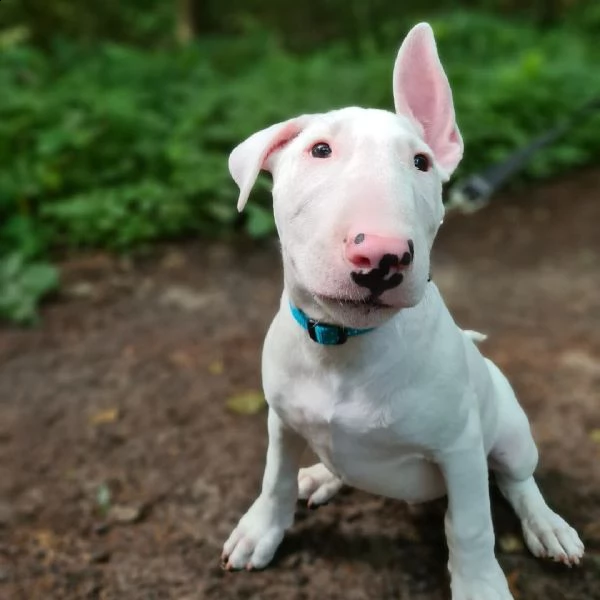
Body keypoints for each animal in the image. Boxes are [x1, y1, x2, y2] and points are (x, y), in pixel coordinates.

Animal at [219, 21, 580, 596]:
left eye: (421, 162)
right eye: (319, 149)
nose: (382, 255)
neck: (341, 345)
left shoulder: (460, 448)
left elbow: (471, 524)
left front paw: (480, 584)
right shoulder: (281, 419)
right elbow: (274, 478)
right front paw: (260, 532)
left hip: (510, 431)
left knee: (516, 478)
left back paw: (547, 526)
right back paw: (320, 476)